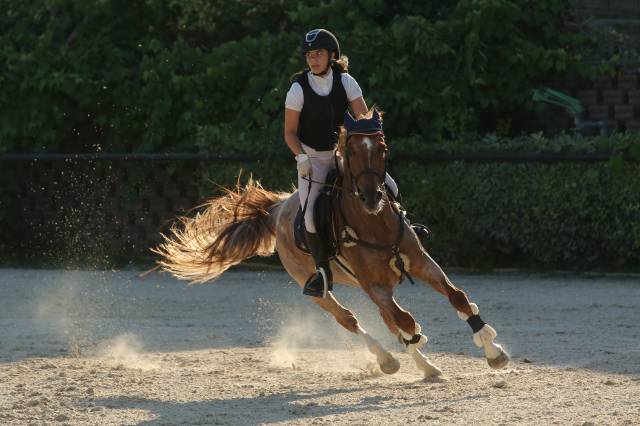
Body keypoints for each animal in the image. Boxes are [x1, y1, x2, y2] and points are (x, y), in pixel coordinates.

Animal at [153, 109, 510, 378]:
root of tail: (277, 207)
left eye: (382, 149)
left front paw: (493, 350)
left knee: (389, 320)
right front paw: (420, 338)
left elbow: (456, 297)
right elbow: (406, 320)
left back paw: (427, 367)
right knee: (351, 319)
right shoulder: (375, 286)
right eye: (350, 152)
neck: (374, 223)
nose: (371, 197)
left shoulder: (421, 263)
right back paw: (388, 360)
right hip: (317, 289)